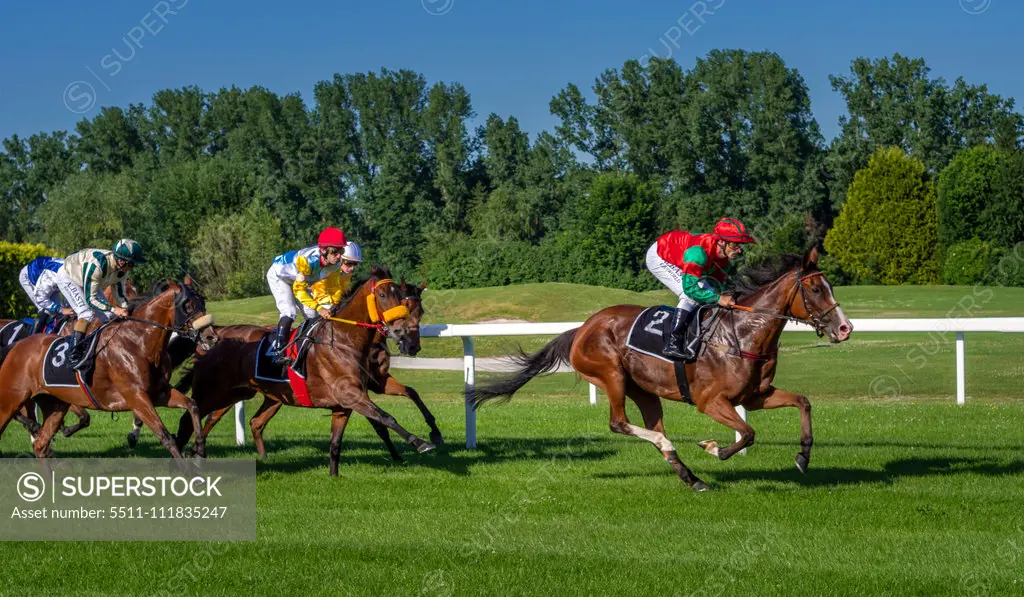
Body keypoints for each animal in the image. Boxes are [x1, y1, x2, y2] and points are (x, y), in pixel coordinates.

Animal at [0, 280, 218, 462]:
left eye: (203, 304)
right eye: (188, 306)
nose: (211, 337)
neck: (138, 343)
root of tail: (16, 346)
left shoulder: (159, 393)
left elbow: (193, 406)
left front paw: (200, 450)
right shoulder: (136, 397)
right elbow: (165, 435)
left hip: (54, 403)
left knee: (40, 443)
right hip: (11, 399)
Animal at [175, 266, 436, 477]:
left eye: (417, 309)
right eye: (383, 295)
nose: (409, 341)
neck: (345, 340)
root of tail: (213, 336)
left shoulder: (355, 396)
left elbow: (338, 441)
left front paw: (334, 476)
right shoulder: (351, 394)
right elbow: (385, 419)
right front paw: (419, 442)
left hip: (253, 394)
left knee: (252, 421)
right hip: (215, 392)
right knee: (193, 417)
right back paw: (189, 455)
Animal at [475, 247, 851, 491]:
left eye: (830, 286)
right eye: (815, 288)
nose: (845, 328)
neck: (742, 334)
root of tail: (581, 328)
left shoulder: (756, 396)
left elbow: (802, 402)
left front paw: (803, 456)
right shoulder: (710, 401)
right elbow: (748, 433)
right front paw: (714, 448)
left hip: (645, 390)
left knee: (650, 428)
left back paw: (692, 478)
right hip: (610, 374)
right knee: (620, 423)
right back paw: (671, 448)